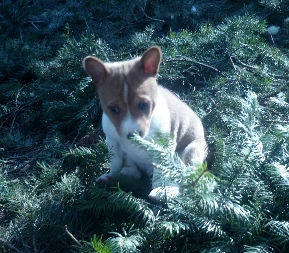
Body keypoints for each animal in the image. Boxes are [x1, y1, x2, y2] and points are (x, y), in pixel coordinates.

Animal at [82, 46, 206, 202]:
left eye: (143, 105)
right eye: (114, 109)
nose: (133, 135)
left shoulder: (162, 148)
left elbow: (161, 172)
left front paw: (161, 191)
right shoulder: (112, 141)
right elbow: (115, 162)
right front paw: (112, 174)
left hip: (190, 151)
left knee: (183, 181)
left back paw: (169, 191)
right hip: (130, 159)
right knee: (133, 173)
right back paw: (111, 180)